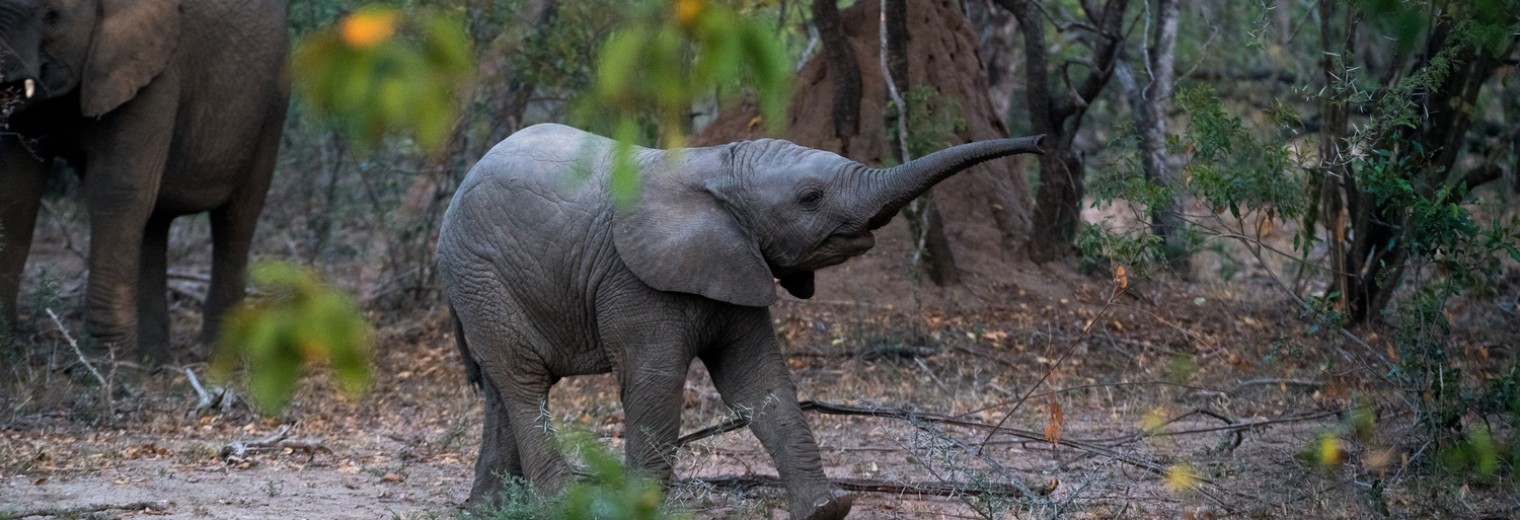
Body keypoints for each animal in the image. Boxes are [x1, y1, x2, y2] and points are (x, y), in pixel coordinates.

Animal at [0, 0, 288, 361]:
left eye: (52, 16)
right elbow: (17, 188)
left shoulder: (153, 71)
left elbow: (115, 189)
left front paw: (107, 363)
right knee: (154, 221)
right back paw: (153, 361)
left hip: (272, 101)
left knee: (236, 219)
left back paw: (217, 357)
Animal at [434, 123, 1039, 516]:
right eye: (810, 197)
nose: (1039, 143)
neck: (717, 166)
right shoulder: (633, 281)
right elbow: (655, 384)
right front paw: (636, 511)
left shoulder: (737, 263)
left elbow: (758, 381)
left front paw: (826, 509)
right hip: (480, 275)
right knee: (523, 380)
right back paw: (564, 502)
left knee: (500, 389)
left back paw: (489, 509)